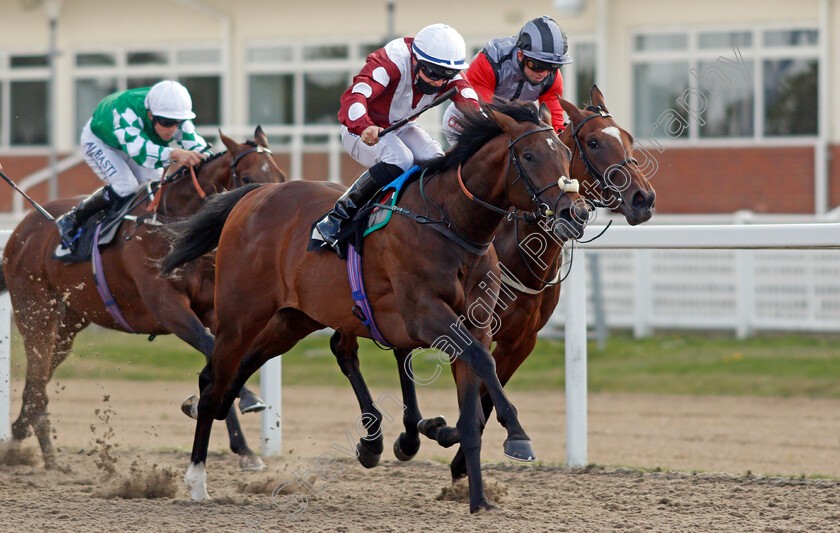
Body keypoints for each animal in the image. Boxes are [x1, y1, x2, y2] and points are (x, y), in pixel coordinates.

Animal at [1, 128, 286, 470]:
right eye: (246, 177)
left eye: (281, 176)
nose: (270, 217)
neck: (175, 224)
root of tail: (22, 229)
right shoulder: (168, 307)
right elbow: (208, 347)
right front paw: (250, 401)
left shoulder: (213, 311)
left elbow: (217, 360)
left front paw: (243, 448)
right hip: (36, 313)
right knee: (37, 381)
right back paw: (48, 456)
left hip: (68, 325)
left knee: (36, 384)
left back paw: (20, 440)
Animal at [159, 100, 592, 512]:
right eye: (531, 156)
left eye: (564, 153)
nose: (576, 212)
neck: (451, 222)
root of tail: (253, 195)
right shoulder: (426, 317)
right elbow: (482, 365)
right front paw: (517, 437)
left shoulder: (477, 325)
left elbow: (473, 406)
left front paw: (478, 499)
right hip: (241, 314)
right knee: (215, 382)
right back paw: (197, 479)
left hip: (292, 319)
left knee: (235, 372)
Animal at [326, 84, 656, 478]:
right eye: (593, 143)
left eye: (628, 139)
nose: (644, 198)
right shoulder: (460, 324)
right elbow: (475, 388)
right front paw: (451, 437)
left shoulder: (520, 340)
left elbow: (483, 400)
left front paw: (457, 453)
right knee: (345, 349)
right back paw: (376, 439)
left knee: (397, 351)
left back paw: (408, 434)